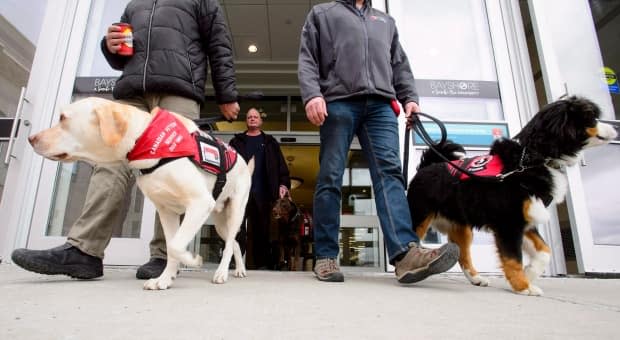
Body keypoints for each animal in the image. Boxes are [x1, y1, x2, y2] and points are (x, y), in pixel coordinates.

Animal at [29, 97, 252, 290]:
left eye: (62, 118)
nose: (30, 138)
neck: (145, 139)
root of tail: (243, 161)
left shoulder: (200, 202)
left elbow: (176, 245)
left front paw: (193, 260)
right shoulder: (167, 211)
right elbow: (172, 246)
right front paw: (165, 279)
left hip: (234, 212)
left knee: (230, 244)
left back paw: (221, 273)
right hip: (218, 220)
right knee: (234, 243)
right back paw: (238, 269)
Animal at [406, 96, 616, 294]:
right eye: (591, 117)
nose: (615, 125)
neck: (531, 159)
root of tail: (427, 166)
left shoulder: (527, 219)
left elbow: (544, 251)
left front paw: (530, 273)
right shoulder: (509, 223)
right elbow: (513, 259)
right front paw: (523, 286)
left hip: (462, 226)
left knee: (463, 255)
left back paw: (476, 278)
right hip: (419, 218)